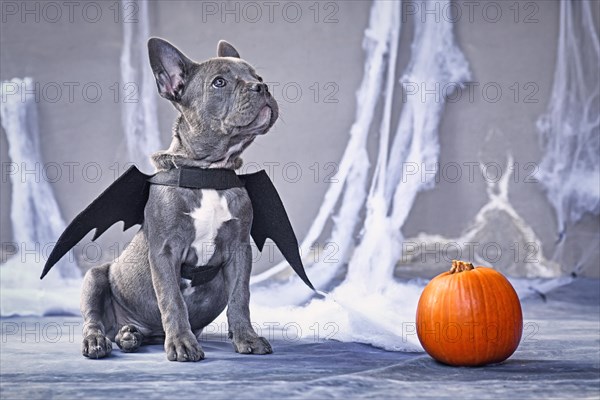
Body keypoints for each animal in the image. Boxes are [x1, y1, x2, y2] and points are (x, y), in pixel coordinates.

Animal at [77, 39, 278, 360]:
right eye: (219, 83)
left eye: (257, 77)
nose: (262, 87)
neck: (208, 173)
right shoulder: (165, 253)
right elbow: (172, 299)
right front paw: (183, 343)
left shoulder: (239, 251)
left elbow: (240, 297)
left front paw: (246, 337)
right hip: (94, 278)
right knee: (93, 319)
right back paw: (98, 341)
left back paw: (129, 336)